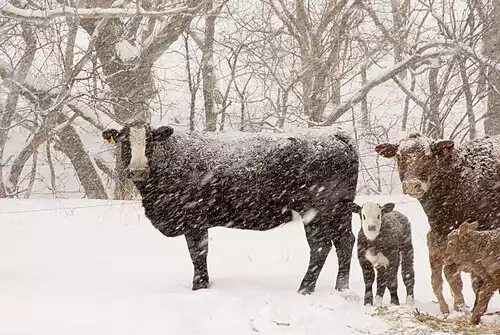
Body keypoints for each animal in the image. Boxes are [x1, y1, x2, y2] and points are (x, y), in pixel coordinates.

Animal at [102, 122, 360, 296]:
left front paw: (199, 287)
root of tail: (334, 133)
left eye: (150, 141)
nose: (137, 170)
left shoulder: (194, 220)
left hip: (317, 211)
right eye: (124, 142)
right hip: (340, 210)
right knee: (345, 241)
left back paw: (305, 289)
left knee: (320, 246)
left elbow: (198, 254)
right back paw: (341, 288)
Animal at [376, 133, 500, 316]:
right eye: (399, 156)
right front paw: (460, 306)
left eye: (428, 156)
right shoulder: (442, 234)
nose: (412, 184)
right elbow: (451, 273)